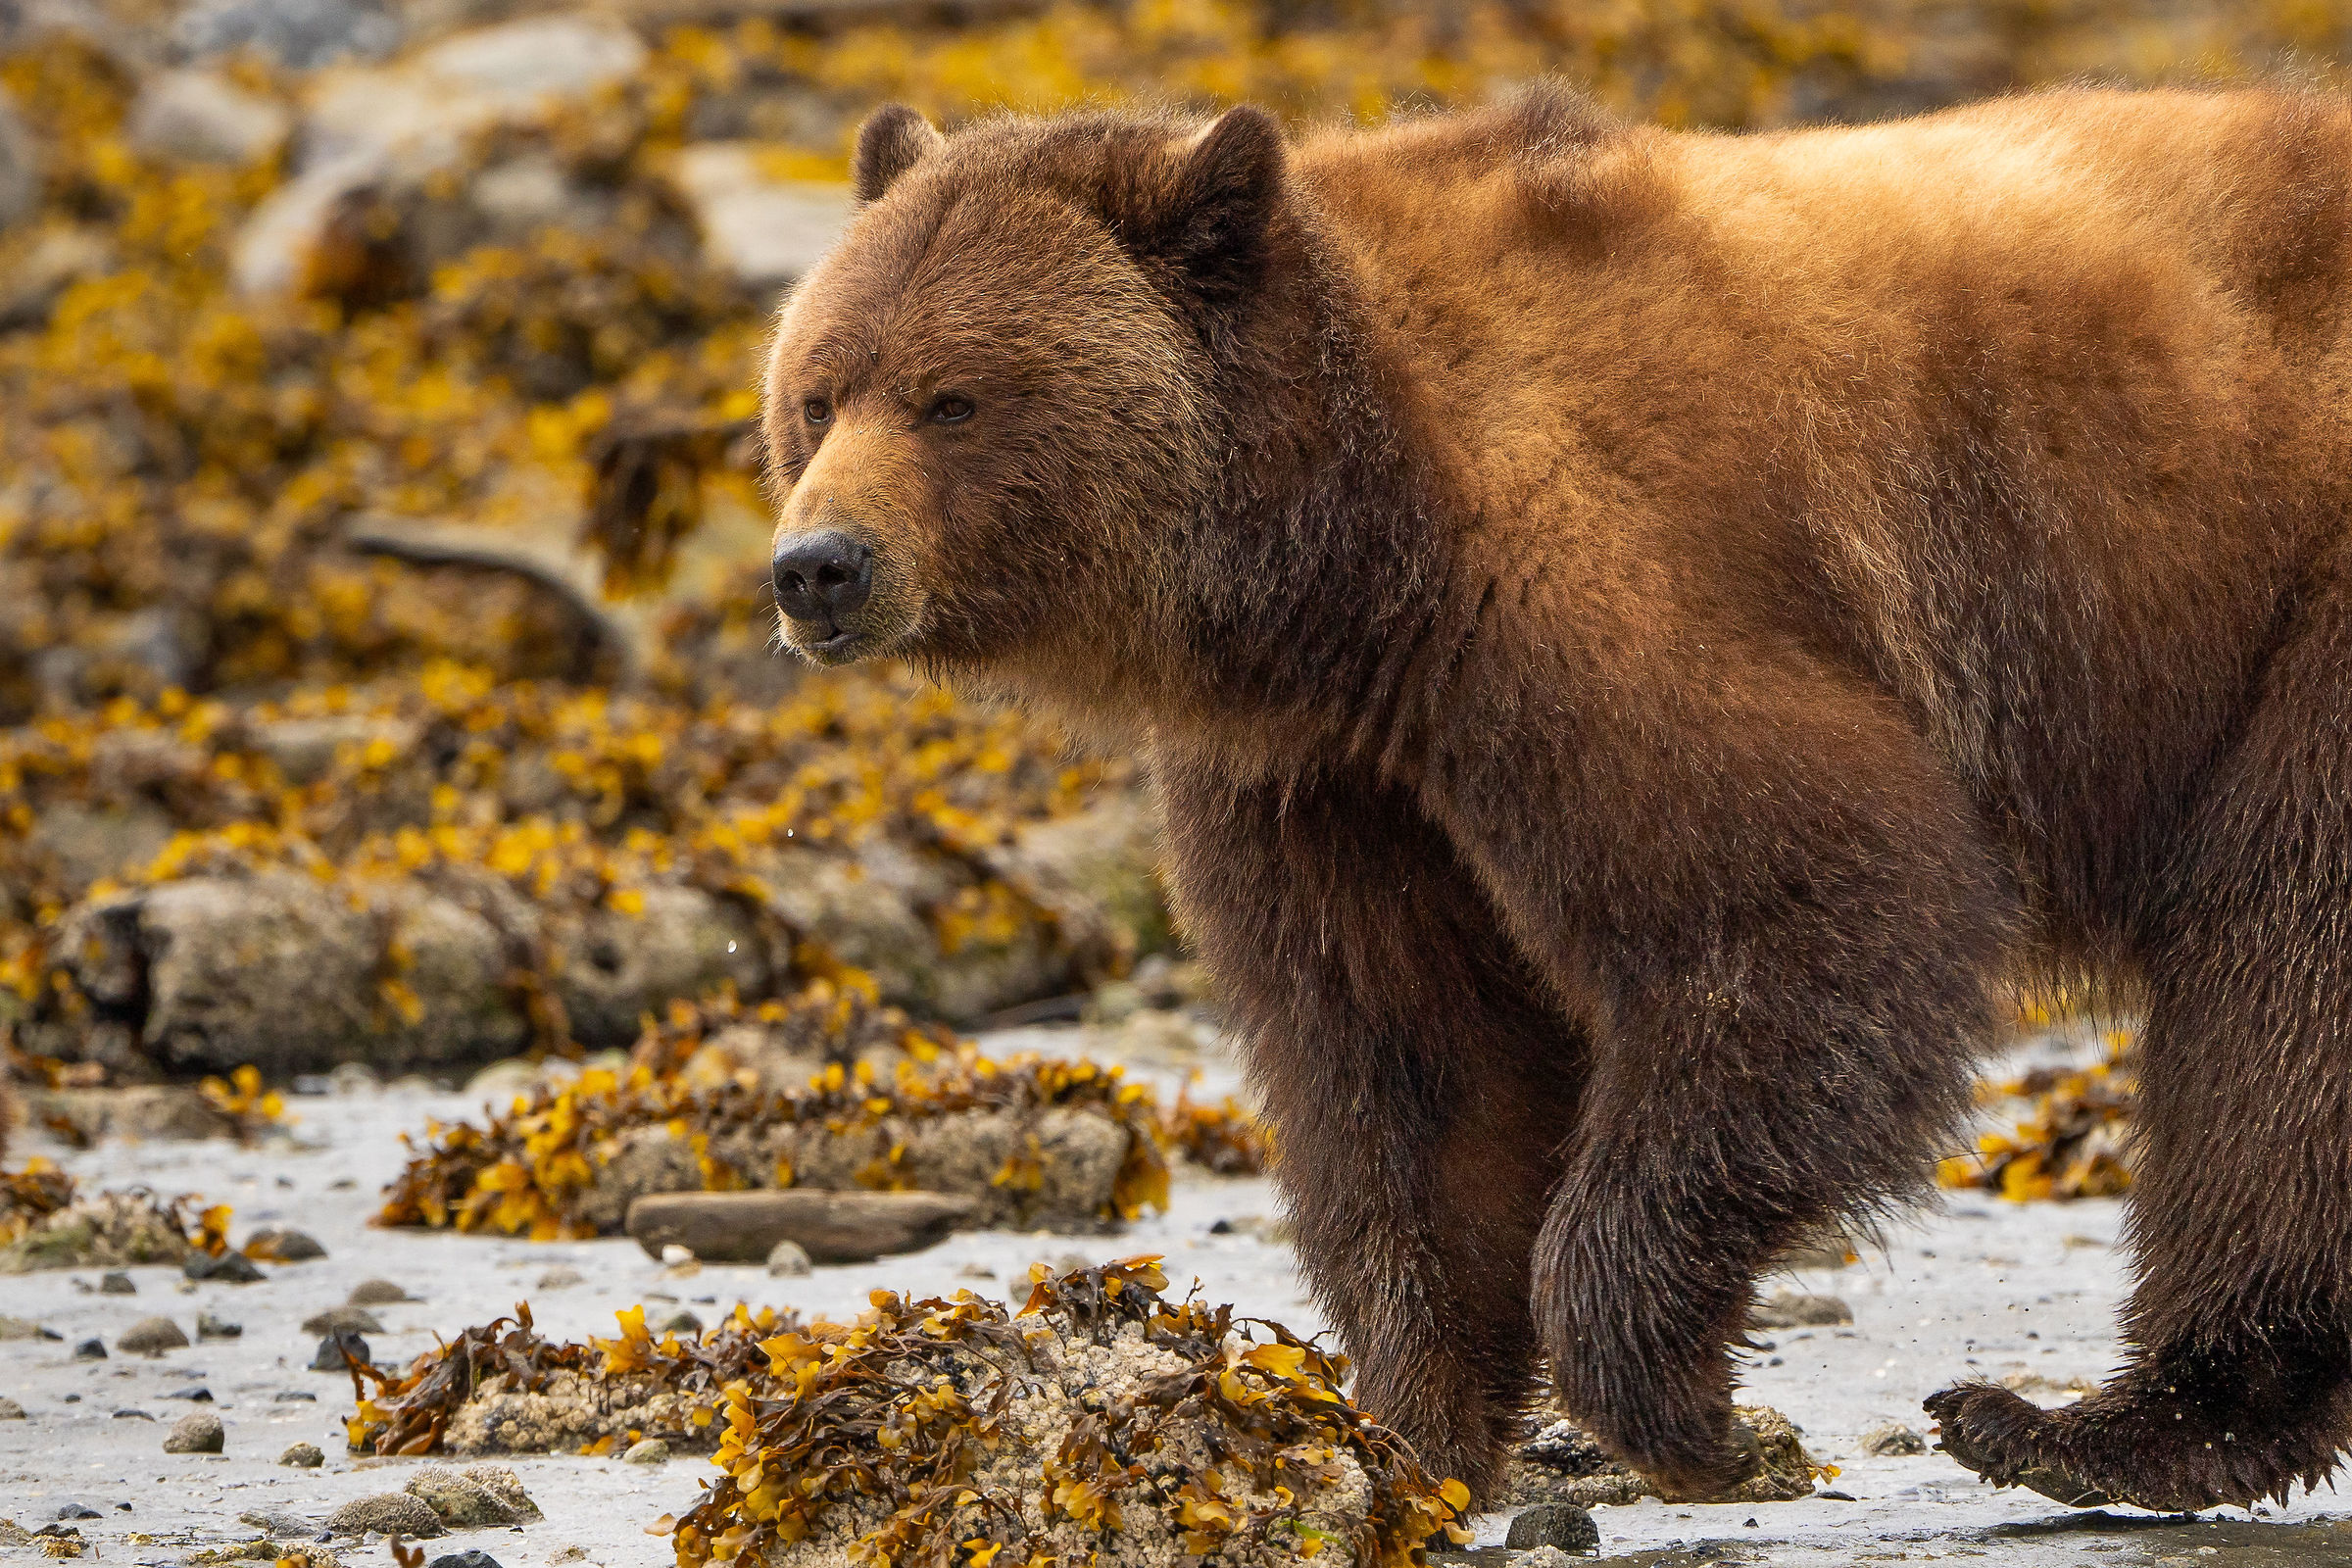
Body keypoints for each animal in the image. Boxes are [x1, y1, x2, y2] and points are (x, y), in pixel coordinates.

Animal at [759, 83, 2352, 1515]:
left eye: (953, 397)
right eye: (817, 391)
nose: (816, 566)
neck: (1351, 548)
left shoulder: (1598, 589)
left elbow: (1804, 907)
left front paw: (1678, 1409)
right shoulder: (1335, 776)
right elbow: (1411, 1063)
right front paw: (1403, 1425)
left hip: (2294, 620)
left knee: (2277, 994)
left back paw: (2095, 1424)